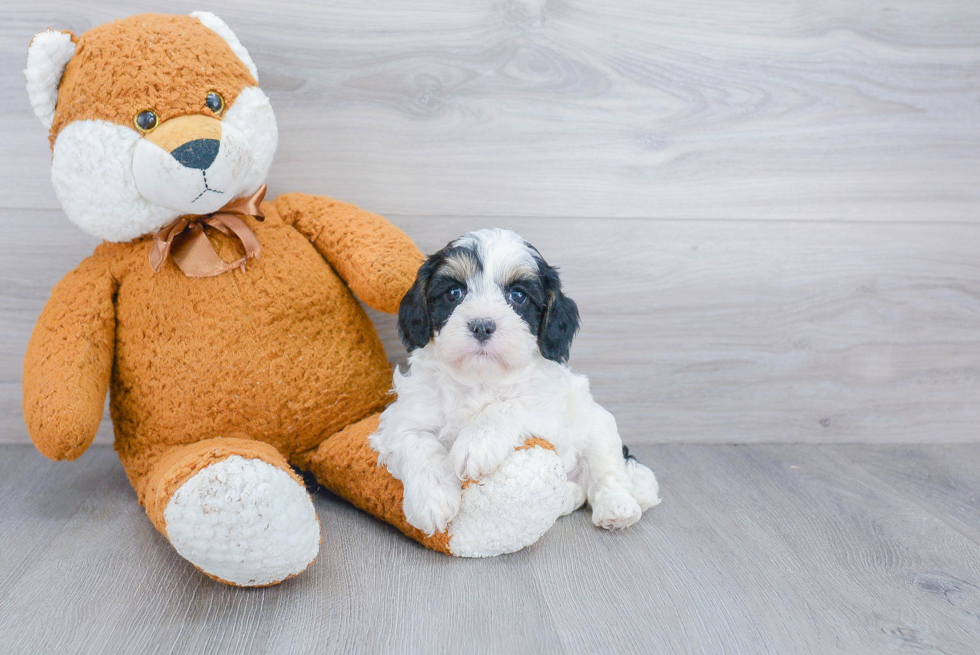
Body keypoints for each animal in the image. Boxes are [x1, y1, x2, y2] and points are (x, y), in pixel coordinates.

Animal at [372, 228, 664, 536]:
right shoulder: (402, 419)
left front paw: (476, 443)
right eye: (454, 293)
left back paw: (617, 507)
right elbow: (417, 442)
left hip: (598, 426)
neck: (480, 379)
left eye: (518, 296)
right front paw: (432, 500)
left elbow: (508, 406)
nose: (482, 325)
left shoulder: (548, 413)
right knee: (579, 490)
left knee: (607, 473)